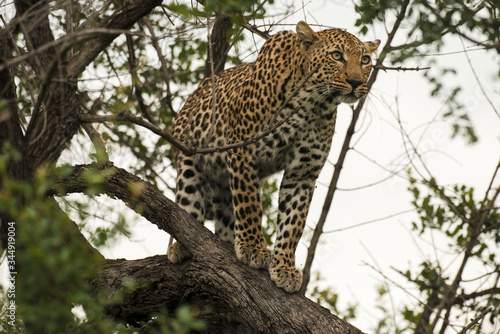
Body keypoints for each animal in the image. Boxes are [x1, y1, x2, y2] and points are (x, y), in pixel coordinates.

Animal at [167, 20, 378, 292]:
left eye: (365, 60)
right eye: (336, 56)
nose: (355, 81)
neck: (313, 103)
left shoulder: (303, 173)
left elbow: (293, 222)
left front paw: (284, 267)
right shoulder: (242, 150)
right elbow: (250, 204)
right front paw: (253, 248)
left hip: (224, 187)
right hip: (188, 159)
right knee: (188, 205)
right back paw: (182, 245)